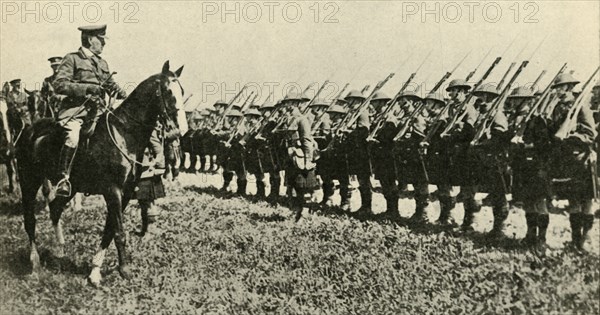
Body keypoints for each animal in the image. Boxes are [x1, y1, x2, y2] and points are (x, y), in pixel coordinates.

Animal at [17, 60, 185, 286]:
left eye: (181, 91)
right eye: (168, 91)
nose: (177, 131)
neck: (124, 134)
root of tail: (30, 129)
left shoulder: (125, 193)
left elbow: (109, 230)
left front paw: (95, 271)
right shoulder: (112, 191)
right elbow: (119, 232)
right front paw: (124, 270)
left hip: (70, 188)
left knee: (55, 208)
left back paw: (59, 250)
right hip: (28, 181)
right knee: (30, 220)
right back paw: (35, 262)